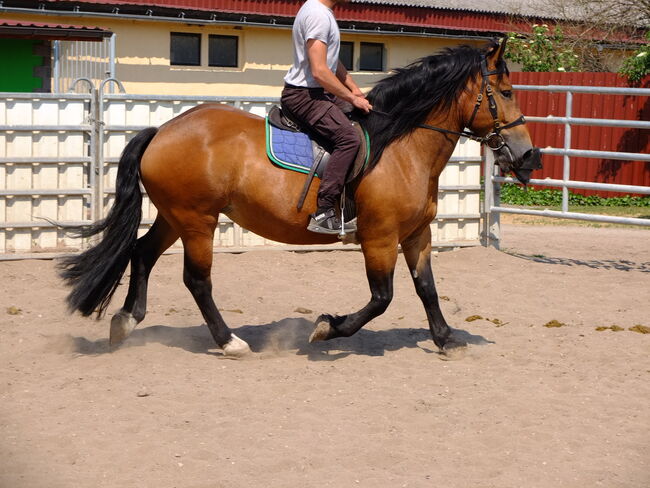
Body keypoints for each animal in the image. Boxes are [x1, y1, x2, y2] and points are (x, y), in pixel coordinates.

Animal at [60, 38, 540, 356]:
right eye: (506, 93)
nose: (529, 156)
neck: (402, 147)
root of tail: (162, 129)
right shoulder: (380, 238)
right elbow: (382, 298)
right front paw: (327, 328)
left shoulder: (416, 234)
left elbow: (427, 289)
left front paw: (445, 338)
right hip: (197, 220)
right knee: (197, 280)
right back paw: (230, 341)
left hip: (175, 216)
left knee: (141, 253)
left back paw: (125, 323)